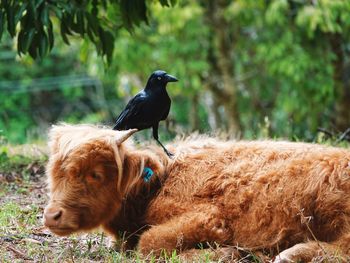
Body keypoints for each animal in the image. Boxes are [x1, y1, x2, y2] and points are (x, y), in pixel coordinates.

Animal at [43, 125, 350, 262]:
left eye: (95, 174)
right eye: (53, 173)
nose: (52, 216)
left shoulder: (209, 218)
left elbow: (150, 243)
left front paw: (226, 253)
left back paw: (291, 254)